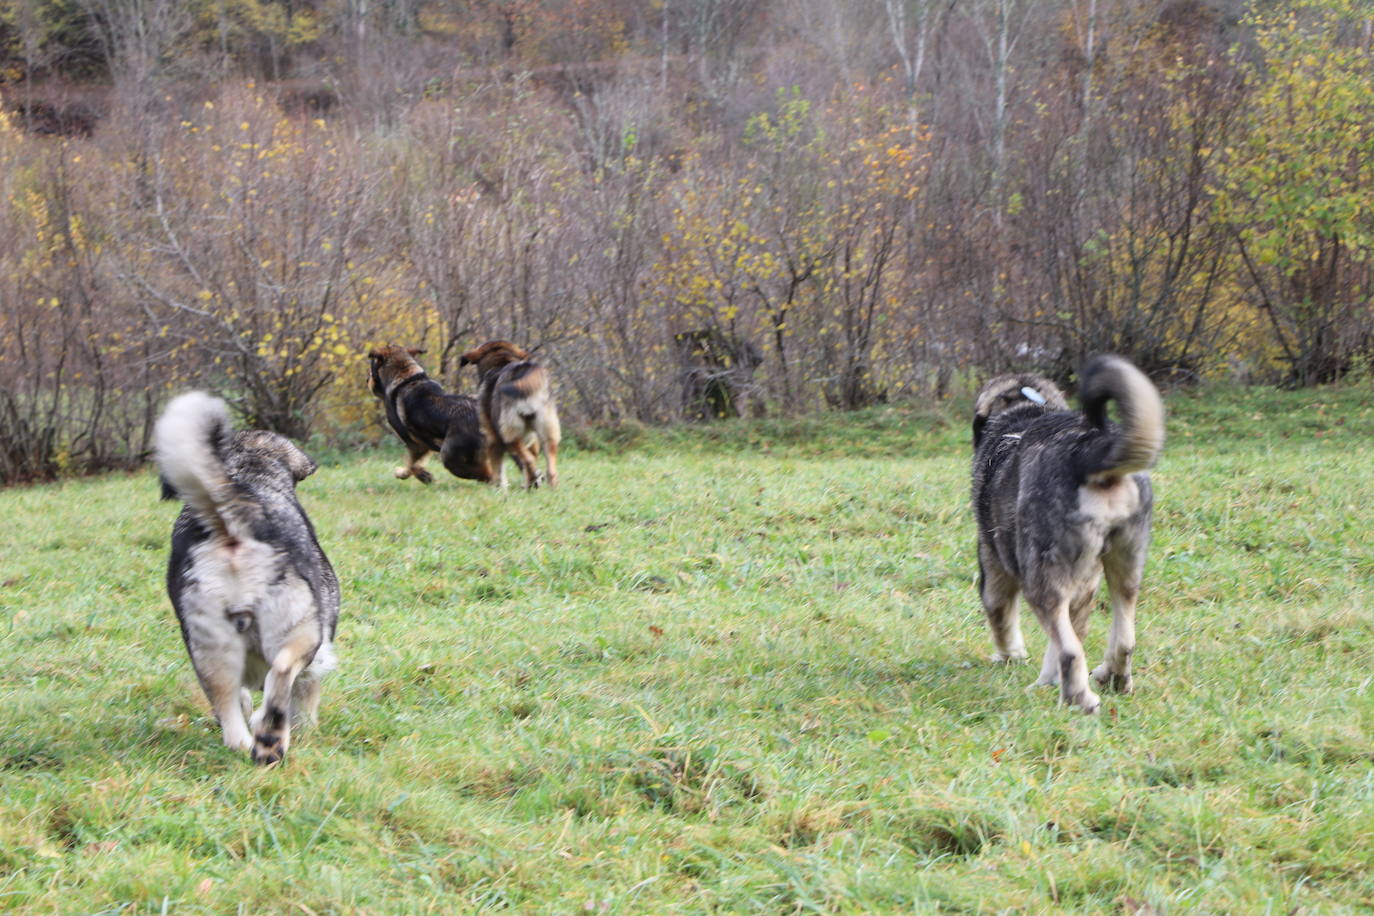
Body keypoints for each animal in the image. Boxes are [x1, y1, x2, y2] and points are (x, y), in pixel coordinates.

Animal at [153, 395, 338, 769]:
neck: (250, 472)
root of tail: (231, 525)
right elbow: (305, 696)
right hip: (300, 630)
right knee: (281, 675)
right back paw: (271, 740)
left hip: (211, 650)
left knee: (230, 716)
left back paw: (254, 743)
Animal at [365, 346, 494, 486]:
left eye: (371, 368)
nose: (367, 380)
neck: (406, 376)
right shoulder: (424, 445)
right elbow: (415, 464)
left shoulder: (415, 445)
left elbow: (411, 465)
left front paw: (411, 474)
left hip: (449, 457)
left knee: (486, 475)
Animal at [458, 340, 560, 491]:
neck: (500, 363)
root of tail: (522, 370)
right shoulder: (532, 440)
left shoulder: (492, 438)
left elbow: (497, 467)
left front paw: (498, 487)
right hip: (547, 428)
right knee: (547, 464)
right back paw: (547, 486)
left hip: (509, 431)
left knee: (528, 460)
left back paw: (532, 480)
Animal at [972, 354, 1165, 714]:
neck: (1023, 413)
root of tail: (1088, 448)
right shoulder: (1083, 588)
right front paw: (1046, 681)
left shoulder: (994, 569)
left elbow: (1003, 617)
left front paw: (1011, 656)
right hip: (1125, 564)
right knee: (1123, 638)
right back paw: (1112, 677)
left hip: (1039, 578)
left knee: (1070, 651)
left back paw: (1078, 699)